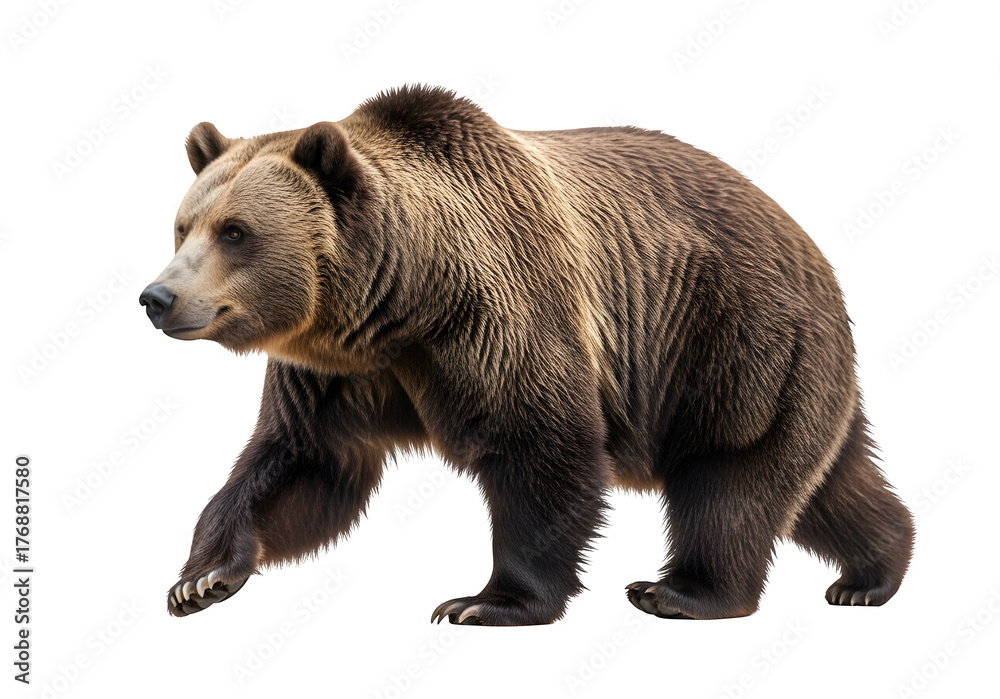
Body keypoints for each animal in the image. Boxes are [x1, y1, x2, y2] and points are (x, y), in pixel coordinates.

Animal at [140, 85, 914, 624]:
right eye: (183, 225)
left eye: (236, 232)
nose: (157, 296)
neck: (402, 302)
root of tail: (808, 240)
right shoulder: (339, 371)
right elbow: (304, 461)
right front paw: (200, 576)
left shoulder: (499, 310)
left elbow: (540, 444)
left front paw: (487, 601)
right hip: (791, 371)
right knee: (829, 481)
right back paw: (870, 573)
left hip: (735, 341)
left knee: (729, 476)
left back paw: (681, 590)